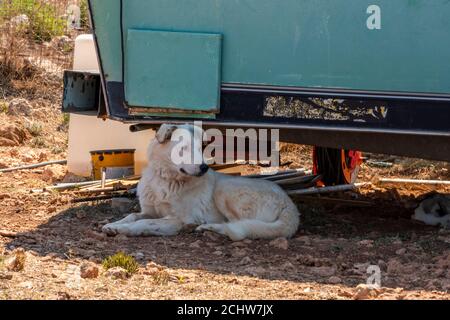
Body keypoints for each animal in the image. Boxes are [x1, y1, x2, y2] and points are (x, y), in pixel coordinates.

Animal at [101, 124, 298, 241]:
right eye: (184, 148)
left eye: (200, 148)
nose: (204, 167)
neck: (166, 179)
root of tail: (290, 207)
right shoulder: (150, 211)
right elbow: (133, 215)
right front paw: (114, 225)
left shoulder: (178, 219)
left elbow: (143, 224)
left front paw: (125, 229)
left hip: (225, 190)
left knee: (238, 229)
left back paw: (207, 227)